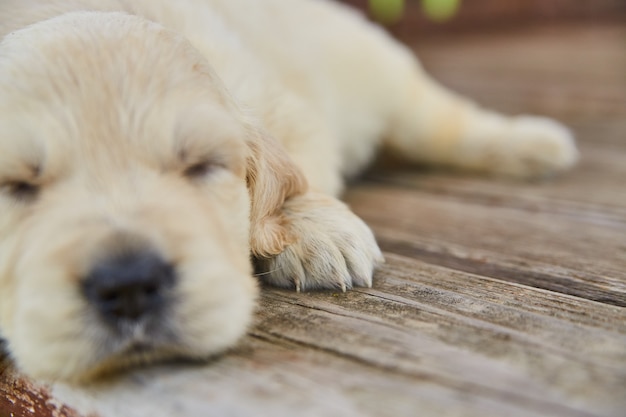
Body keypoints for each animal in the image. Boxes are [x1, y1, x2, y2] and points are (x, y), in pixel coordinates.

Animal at [0, 0, 576, 382]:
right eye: (16, 186)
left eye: (201, 167)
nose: (128, 286)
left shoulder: (274, 93)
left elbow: (295, 160)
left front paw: (315, 230)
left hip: (372, 66)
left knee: (439, 118)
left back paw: (532, 144)